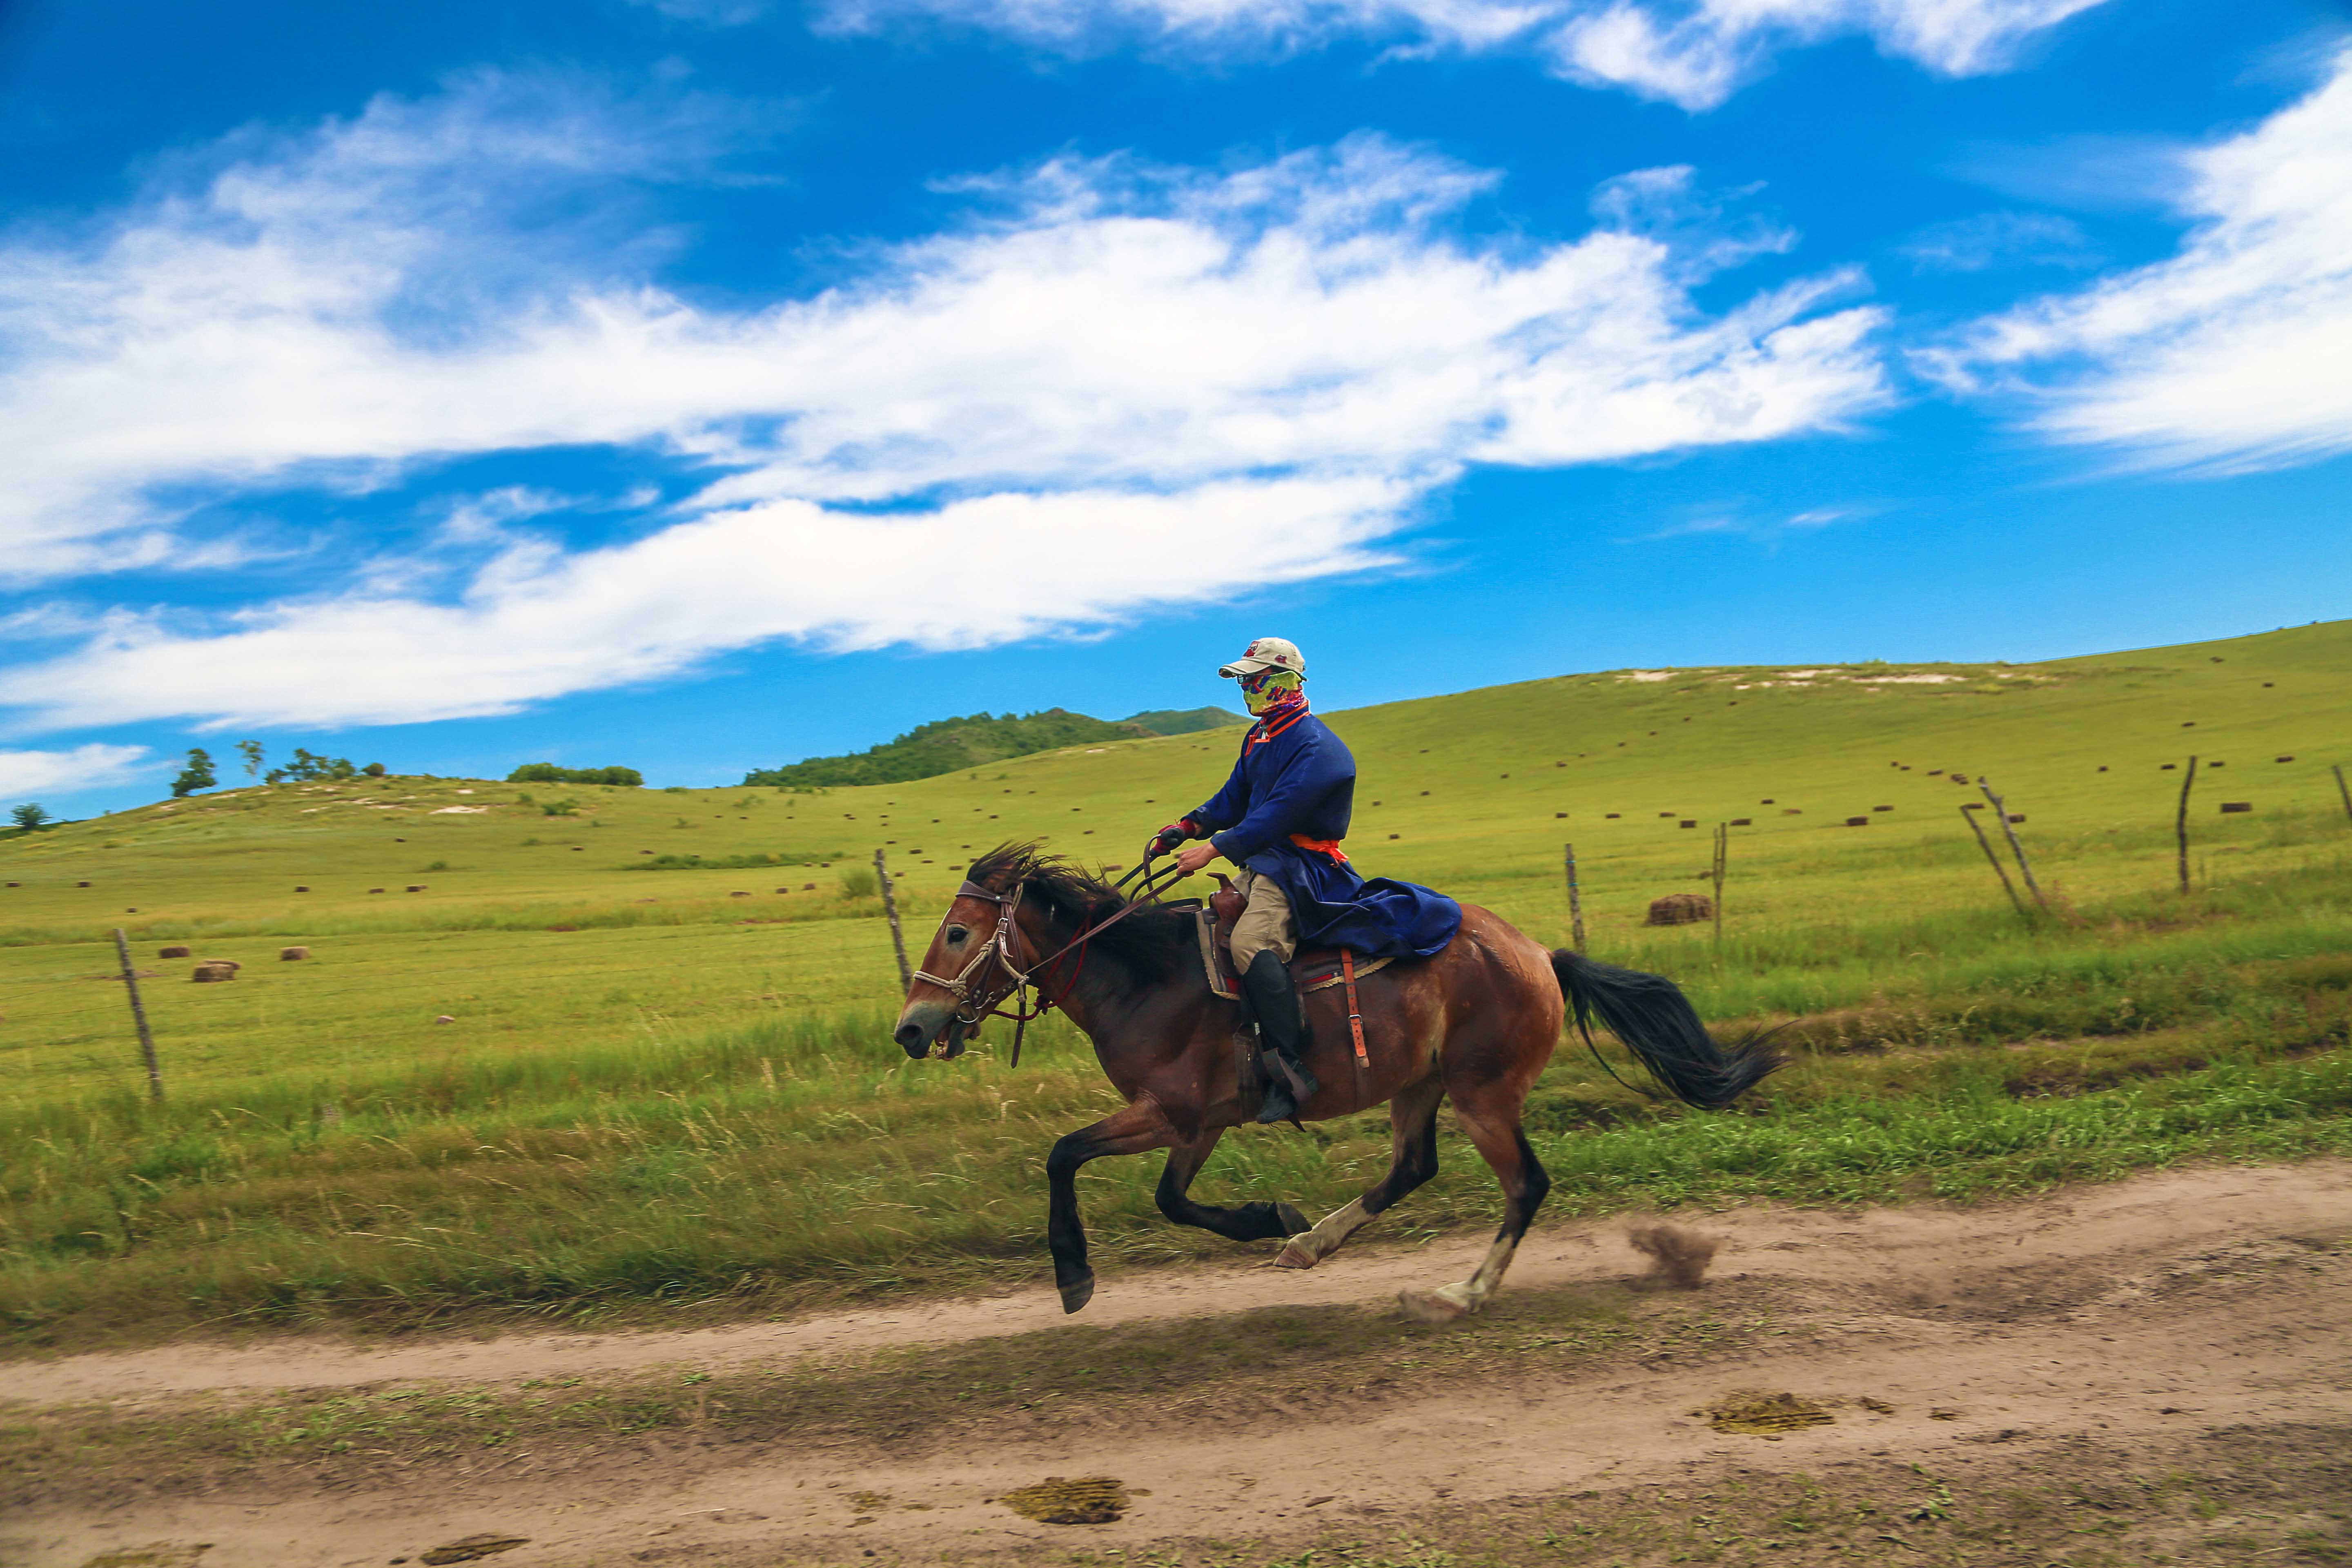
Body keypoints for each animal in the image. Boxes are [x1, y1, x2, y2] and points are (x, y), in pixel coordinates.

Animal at [891, 842, 1782, 1322]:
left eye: (959, 933)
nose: (911, 1029)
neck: (1145, 977)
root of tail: (1540, 954)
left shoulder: (1168, 1111)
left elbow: (1064, 1156)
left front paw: (1074, 1275)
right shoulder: (1200, 1120)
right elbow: (1172, 1200)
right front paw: (1271, 1218)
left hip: (1483, 1095)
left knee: (1525, 1185)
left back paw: (1463, 1293)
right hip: (1418, 1085)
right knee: (1414, 1167)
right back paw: (1313, 1242)